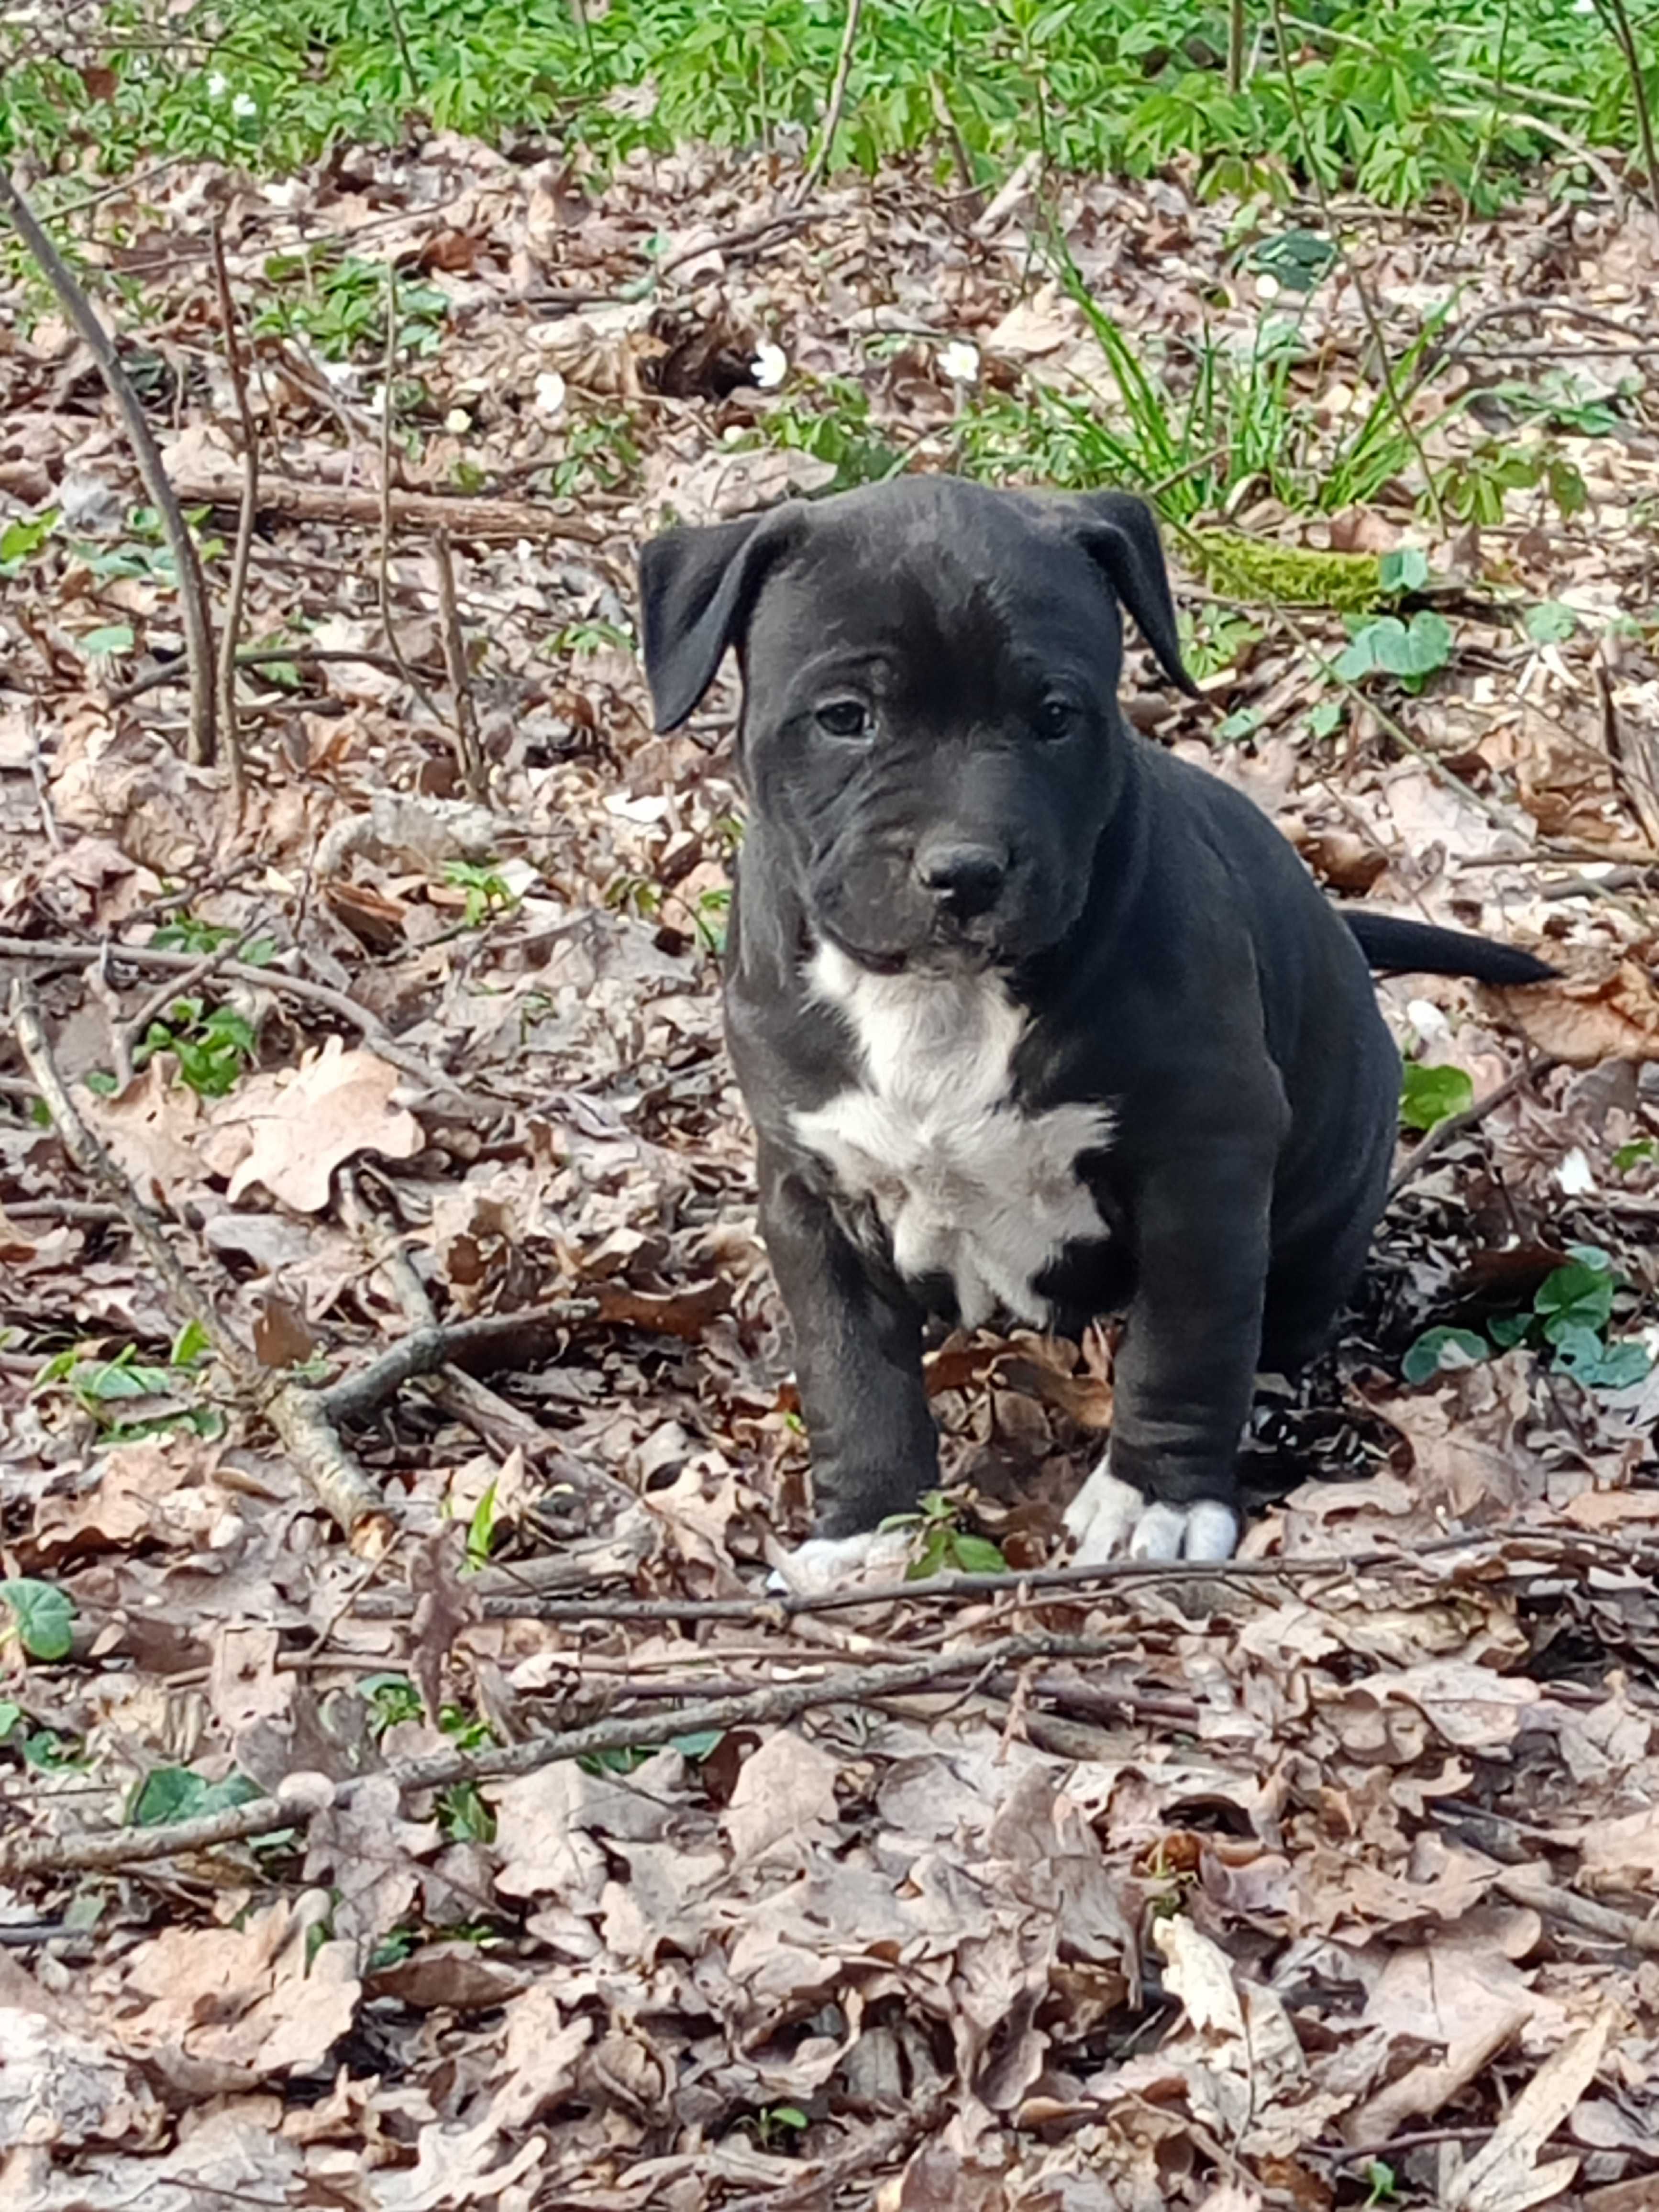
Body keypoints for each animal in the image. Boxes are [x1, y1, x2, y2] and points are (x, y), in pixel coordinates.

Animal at [641, 484, 1557, 1593]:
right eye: (844, 717)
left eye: (1054, 716)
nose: (965, 870)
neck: (942, 1001)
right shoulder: (811, 1189)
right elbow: (851, 1370)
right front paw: (865, 1526)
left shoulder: (1201, 1165)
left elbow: (1184, 1340)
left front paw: (1156, 1501)